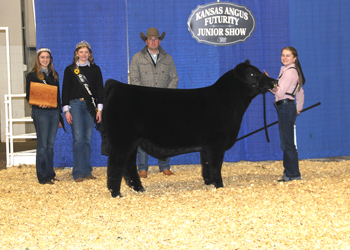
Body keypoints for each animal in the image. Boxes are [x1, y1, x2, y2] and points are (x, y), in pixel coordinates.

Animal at [102, 60, 276, 197]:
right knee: (115, 165)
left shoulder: (206, 146)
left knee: (129, 166)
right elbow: (216, 165)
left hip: (131, 142)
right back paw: (116, 193)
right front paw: (219, 185)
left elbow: (206, 164)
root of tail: (117, 85)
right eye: (252, 74)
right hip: (122, 141)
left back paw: (139, 189)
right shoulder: (217, 143)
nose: (274, 81)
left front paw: (209, 182)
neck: (228, 101)